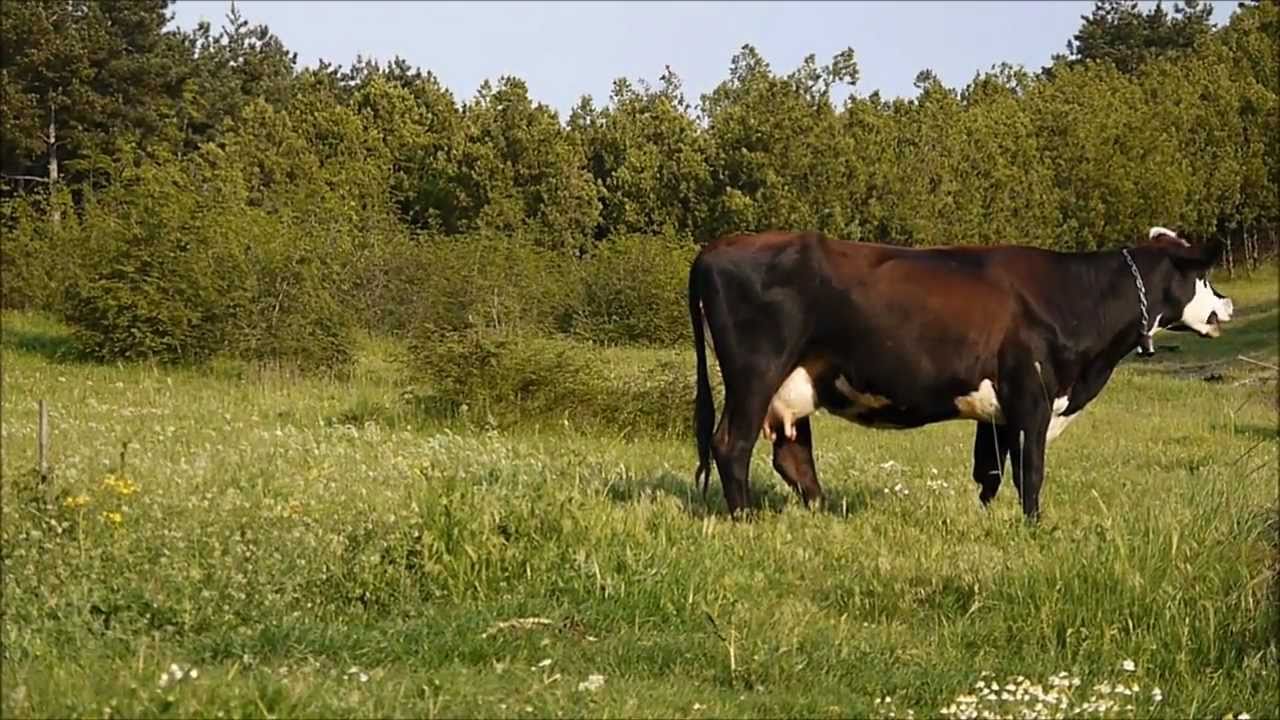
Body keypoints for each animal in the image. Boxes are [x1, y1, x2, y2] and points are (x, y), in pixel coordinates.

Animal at [686, 226, 1233, 517]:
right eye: (1203, 276)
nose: (1227, 305)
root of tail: (715, 248)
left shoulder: (998, 411)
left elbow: (990, 471)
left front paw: (986, 520)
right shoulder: (1033, 398)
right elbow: (1030, 471)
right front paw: (1035, 526)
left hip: (794, 383)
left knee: (792, 454)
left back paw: (824, 511)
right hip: (755, 372)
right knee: (732, 444)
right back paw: (746, 518)